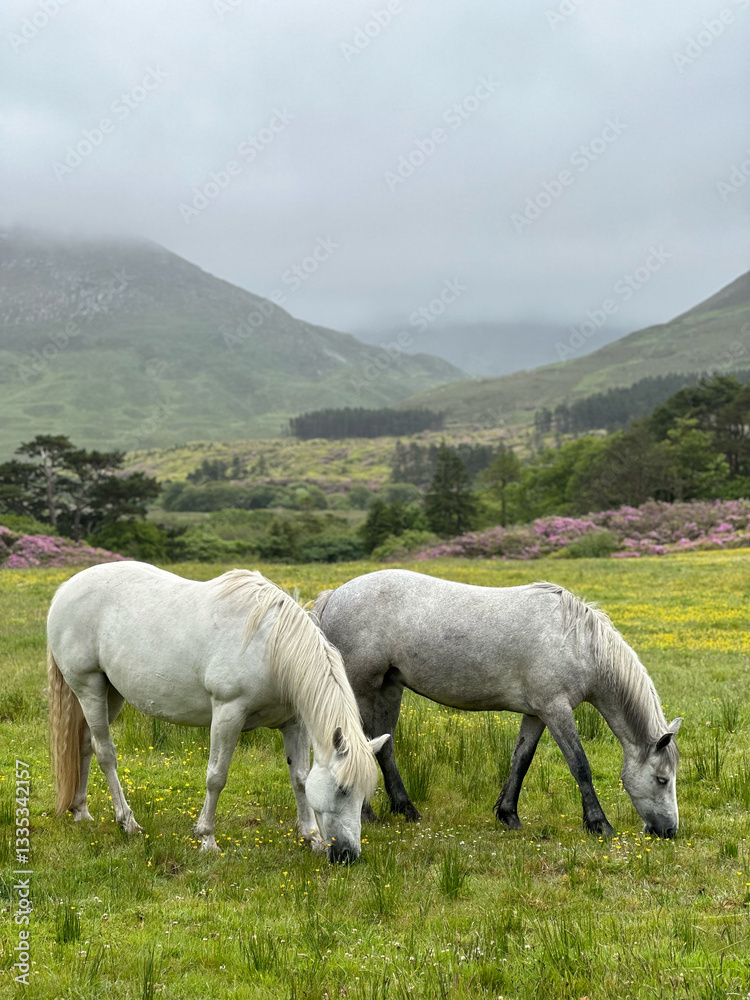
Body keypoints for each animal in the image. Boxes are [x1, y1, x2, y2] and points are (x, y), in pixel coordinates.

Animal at [47, 561, 388, 864]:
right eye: (342, 789)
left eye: (364, 793)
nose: (348, 855)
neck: (271, 647)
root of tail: (66, 589)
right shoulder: (228, 714)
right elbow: (216, 777)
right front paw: (207, 839)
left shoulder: (294, 724)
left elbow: (300, 779)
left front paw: (311, 837)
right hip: (89, 688)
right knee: (104, 751)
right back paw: (127, 821)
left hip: (111, 694)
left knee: (84, 745)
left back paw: (81, 811)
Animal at [314, 569, 681, 838]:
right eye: (662, 779)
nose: (669, 831)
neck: (576, 640)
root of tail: (335, 595)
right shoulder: (556, 710)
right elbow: (580, 765)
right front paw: (599, 824)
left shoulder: (537, 713)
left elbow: (521, 760)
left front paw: (508, 815)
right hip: (362, 690)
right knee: (360, 746)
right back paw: (368, 814)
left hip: (390, 688)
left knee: (385, 747)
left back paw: (407, 809)